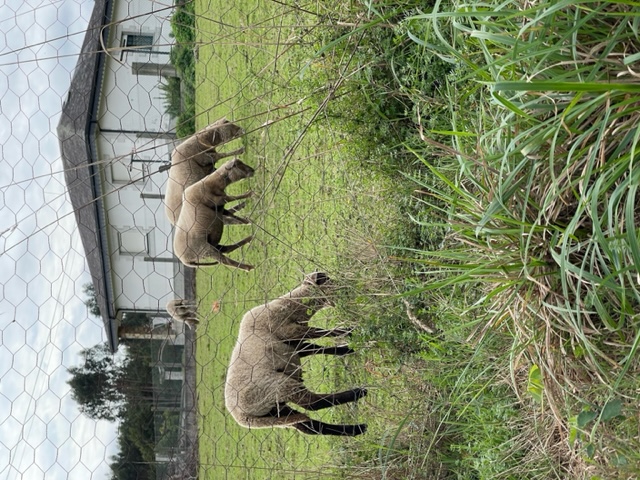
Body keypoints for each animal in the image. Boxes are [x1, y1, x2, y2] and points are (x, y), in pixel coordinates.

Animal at [225, 272, 368, 436]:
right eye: (330, 280)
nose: (347, 288)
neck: (290, 307)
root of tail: (242, 417)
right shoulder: (290, 331)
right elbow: (323, 333)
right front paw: (352, 331)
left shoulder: (295, 344)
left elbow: (318, 348)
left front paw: (347, 348)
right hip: (276, 387)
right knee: (313, 403)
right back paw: (358, 393)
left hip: (275, 412)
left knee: (310, 427)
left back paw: (355, 429)